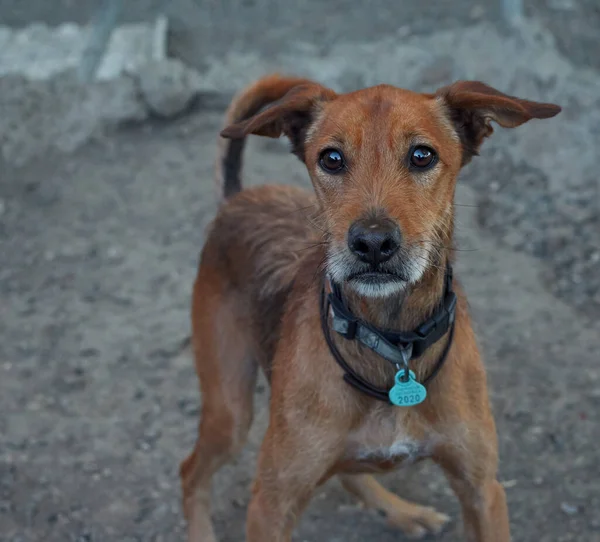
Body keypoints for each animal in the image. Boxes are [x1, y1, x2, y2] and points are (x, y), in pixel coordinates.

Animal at [180, 76, 560, 542]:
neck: (392, 347)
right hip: (230, 413)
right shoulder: (270, 506)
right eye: (331, 158)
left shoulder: (483, 490)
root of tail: (237, 200)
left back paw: (403, 511)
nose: (373, 243)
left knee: (349, 471)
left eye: (422, 155)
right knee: (191, 471)